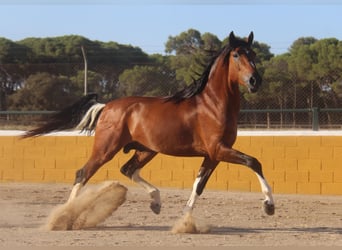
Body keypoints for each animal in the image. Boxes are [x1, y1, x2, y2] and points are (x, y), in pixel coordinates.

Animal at [23, 31, 276, 217]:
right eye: (236, 55)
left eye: (253, 53)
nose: (255, 81)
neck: (212, 105)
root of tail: (107, 106)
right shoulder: (219, 149)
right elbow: (254, 162)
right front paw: (269, 205)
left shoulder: (213, 155)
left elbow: (199, 185)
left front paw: (185, 220)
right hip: (106, 148)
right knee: (82, 173)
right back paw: (65, 215)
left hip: (146, 150)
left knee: (127, 169)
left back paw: (156, 202)